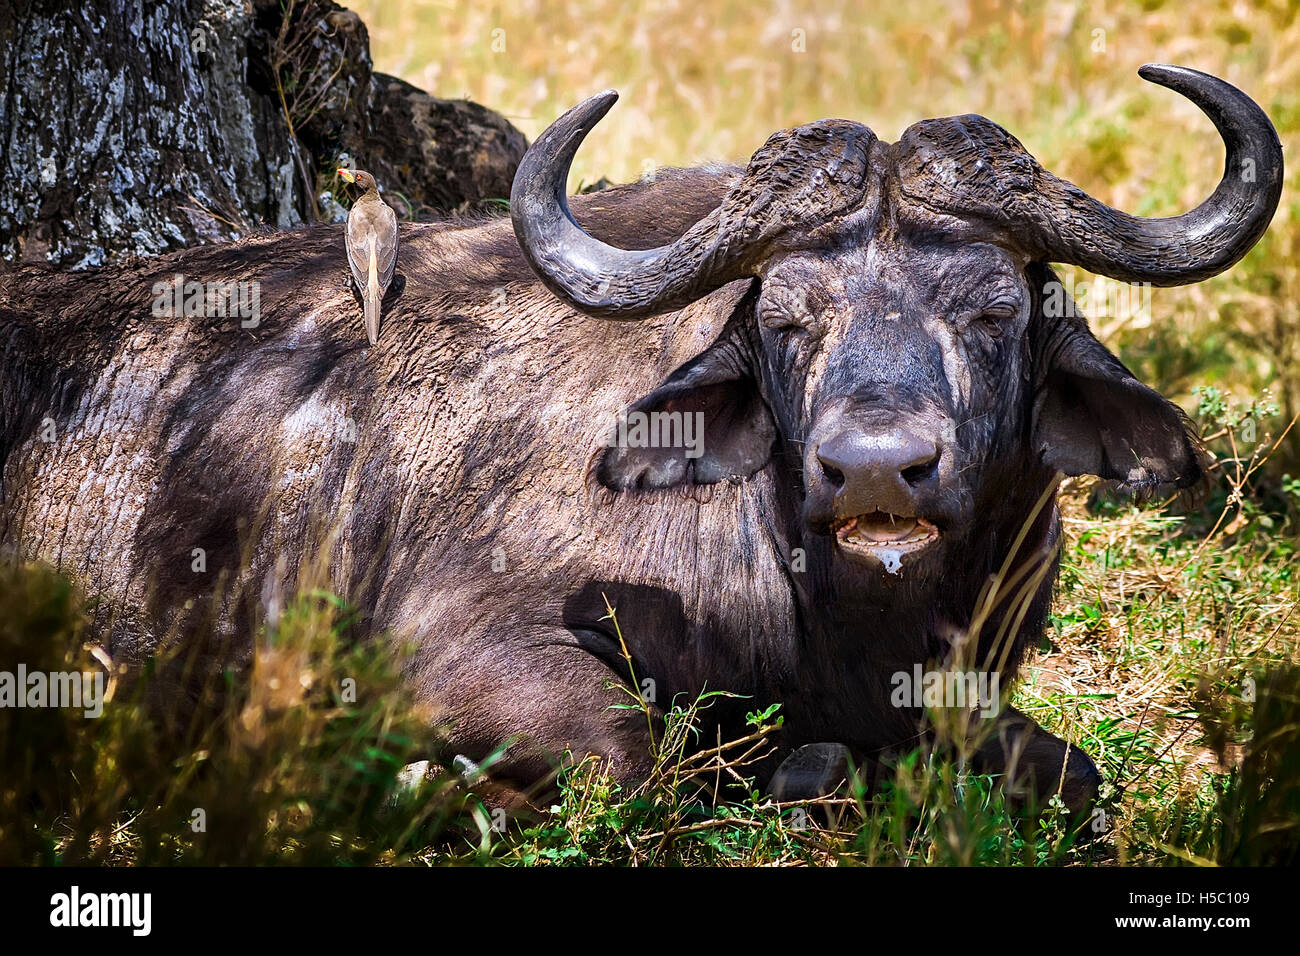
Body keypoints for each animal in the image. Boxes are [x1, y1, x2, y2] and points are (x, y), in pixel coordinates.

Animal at [0, 65, 1279, 816]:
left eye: (993, 309)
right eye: (787, 316)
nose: (875, 469)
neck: (844, 615)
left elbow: (1075, 771)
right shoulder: (461, 657)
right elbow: (636, 757)